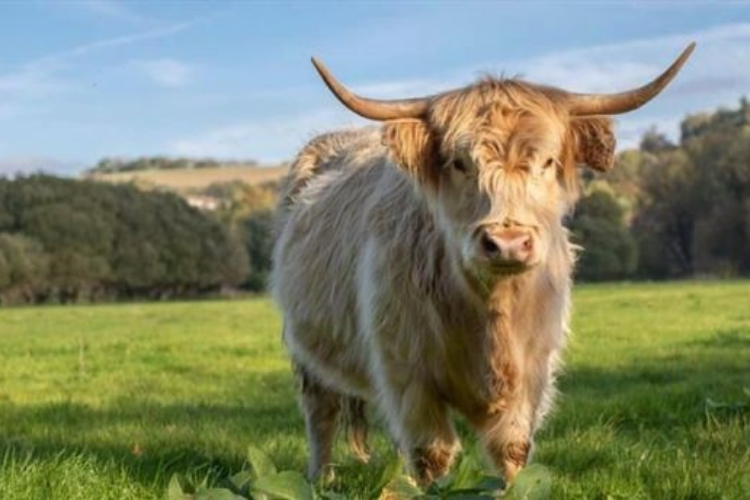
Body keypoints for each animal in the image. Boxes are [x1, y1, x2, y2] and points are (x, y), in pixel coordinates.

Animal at [271, 43, 695, 485]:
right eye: (460, 163)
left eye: (547, 162)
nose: (507, 243)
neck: (491, 315)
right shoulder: (407, 374)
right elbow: (432, 454)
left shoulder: (532, 375)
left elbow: (511, 450)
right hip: (308, 353)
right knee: (321, 412)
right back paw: (321, 481)